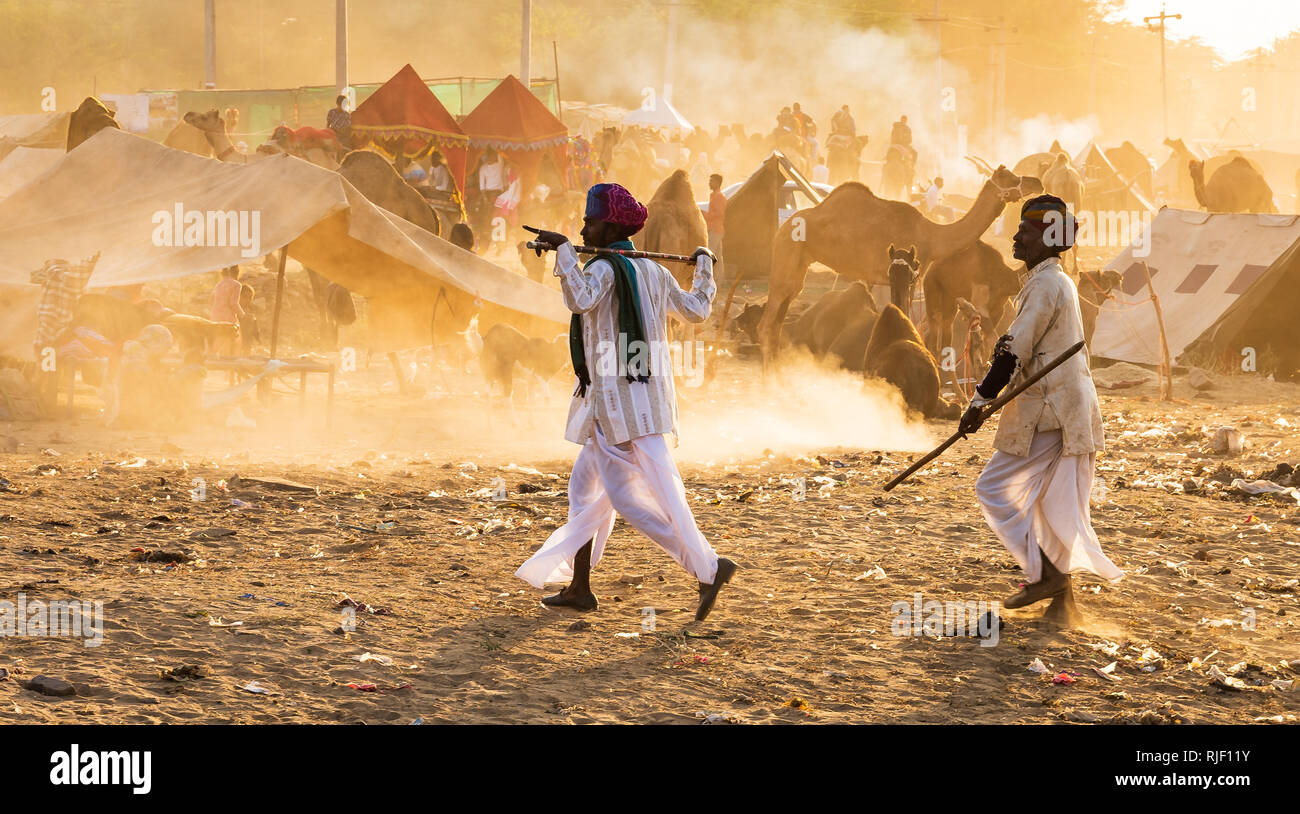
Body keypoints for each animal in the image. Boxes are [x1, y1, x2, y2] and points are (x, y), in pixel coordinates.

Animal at [754, 163, 1045, 366]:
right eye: (1010, 177)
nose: (1037, 181)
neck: (933, 235)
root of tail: (779, 231)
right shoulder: (910, 271)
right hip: (785, 259)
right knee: (767, 323)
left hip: (799, 270)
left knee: (777, 322)